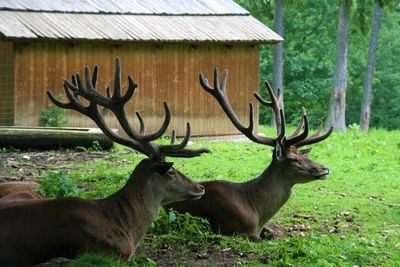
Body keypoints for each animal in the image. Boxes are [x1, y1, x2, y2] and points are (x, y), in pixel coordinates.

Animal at [164, 69, 332, 241]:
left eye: (305, 156)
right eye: (293, 159)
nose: (325, 169)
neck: (256, 212)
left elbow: (272, 233)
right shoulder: (233, 229)